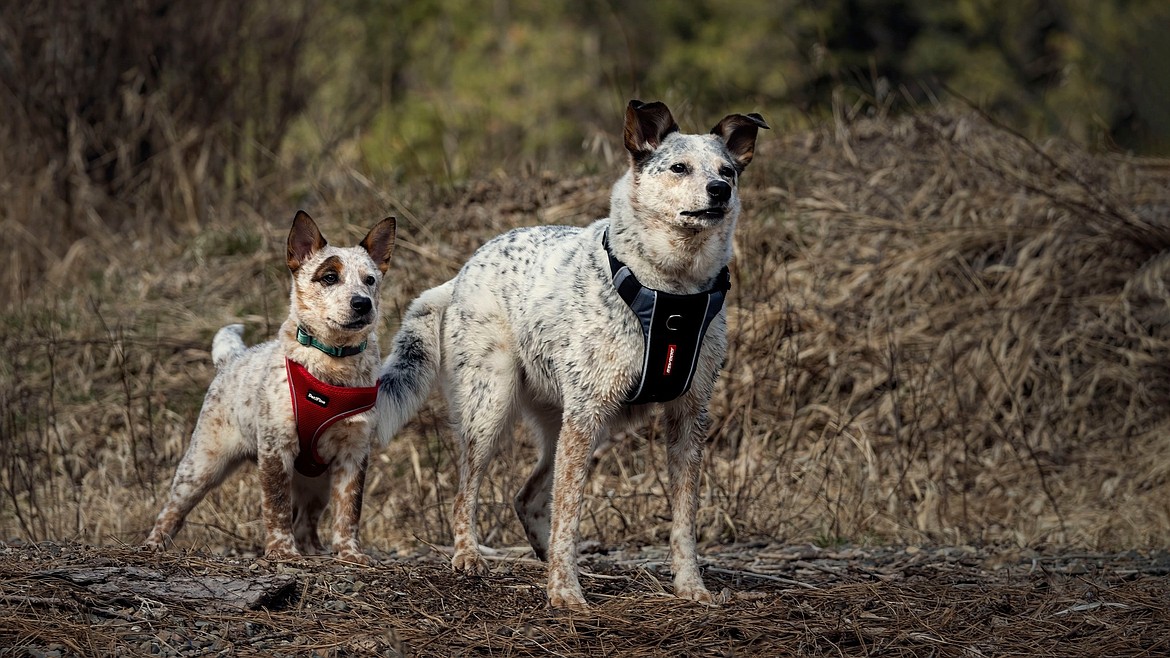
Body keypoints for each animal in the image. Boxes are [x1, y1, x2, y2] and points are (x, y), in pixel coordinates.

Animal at [144, 210, 393, 564]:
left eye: (370, 280)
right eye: (330, 277)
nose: (362, 304)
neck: (332, 364)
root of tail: (231, 359)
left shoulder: (354, 453)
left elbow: (349, 510)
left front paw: (349, 553)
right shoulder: (276, 448)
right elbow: (276, 507)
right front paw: (282, 551)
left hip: (316, 483)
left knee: (305, 521)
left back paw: (314, 550)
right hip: (202, 464)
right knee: (172, 509)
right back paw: (154, 543)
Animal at [374, 98, 767, 604]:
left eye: (728, 171)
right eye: (679, 167)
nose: (719, 191)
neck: (673, 292)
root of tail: (460, 275)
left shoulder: (687, 418)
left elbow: (684, 523)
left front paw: (691, 588)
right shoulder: (587, 414)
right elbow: (570, 515)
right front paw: (564, 593)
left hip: (567, 424)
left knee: (528, 497)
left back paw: (545, 560)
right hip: (493, 411)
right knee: (467, 492)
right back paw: (470, 557)